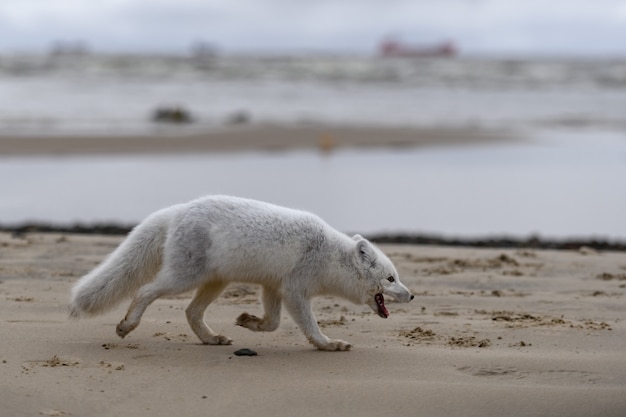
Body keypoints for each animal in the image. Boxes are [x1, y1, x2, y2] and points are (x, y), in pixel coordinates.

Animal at [68, 193, 412, 350]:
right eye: (391, 278)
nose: (411, 296)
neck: (329, 255)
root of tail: (179, 209)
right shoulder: (295, 291)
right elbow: (310, 327)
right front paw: (329, 344)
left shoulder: (274, 287)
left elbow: (273, 323)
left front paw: (249, 322)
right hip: (183, 278)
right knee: (145, 291)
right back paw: (127, 325)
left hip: (215, 282)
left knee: (191, 312)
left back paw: (211, 339)